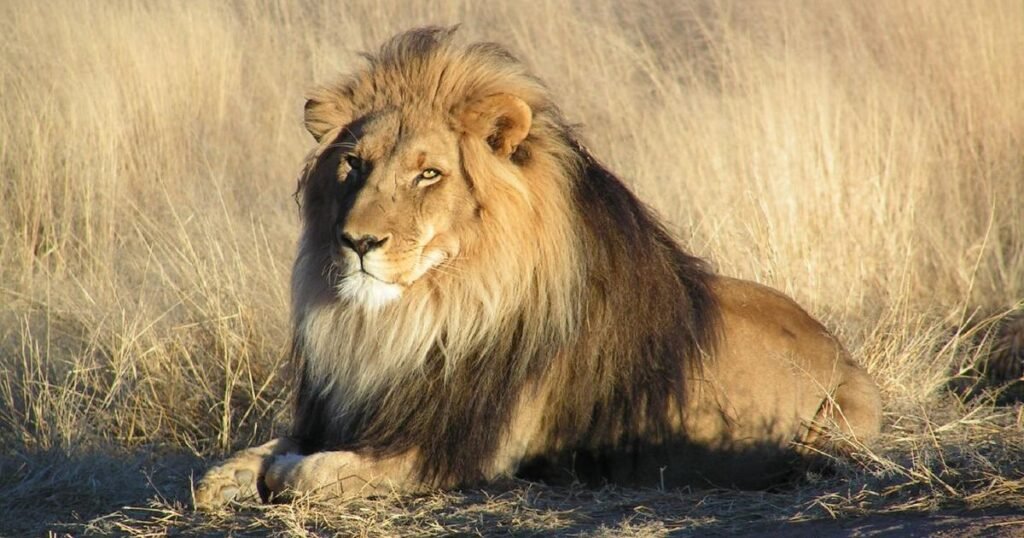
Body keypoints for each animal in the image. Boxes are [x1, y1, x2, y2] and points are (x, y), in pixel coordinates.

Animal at [195, 27, 882, 509]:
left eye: (428, 173)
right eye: (354, 165)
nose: (357, 241)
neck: (415, 318)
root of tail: (839, 347)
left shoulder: (460, 451)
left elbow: (309, 473)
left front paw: (282, 474)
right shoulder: (350, 411)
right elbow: (250, 457)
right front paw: (230, 477)